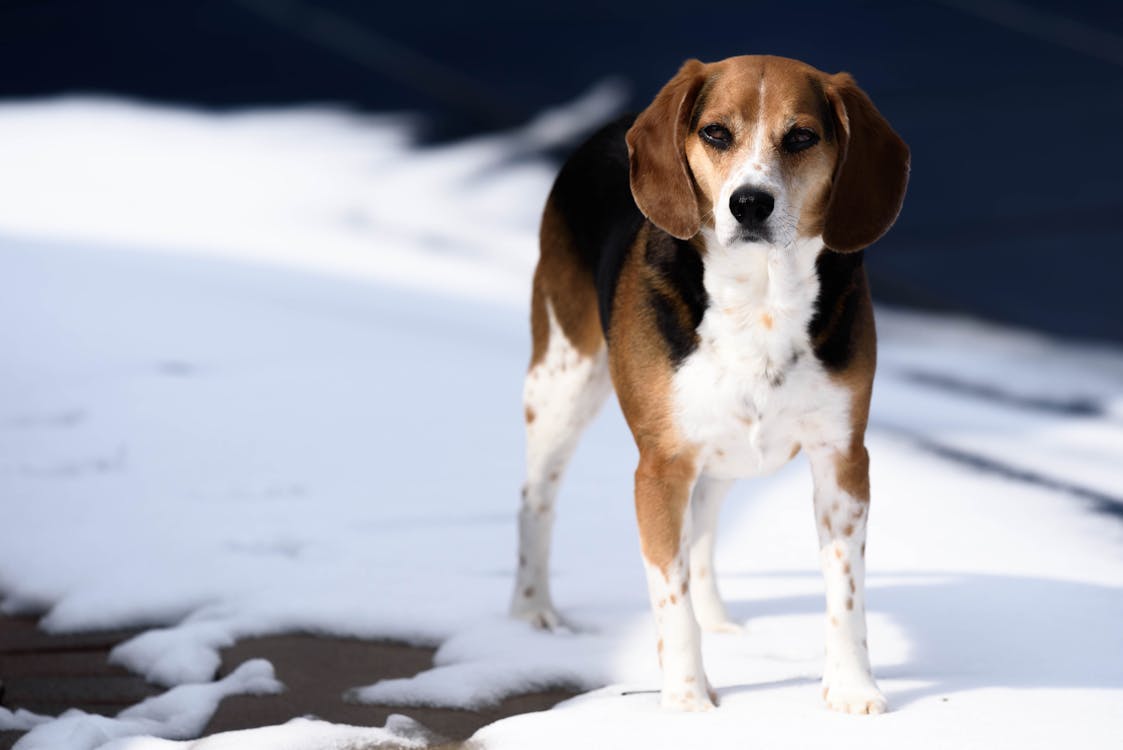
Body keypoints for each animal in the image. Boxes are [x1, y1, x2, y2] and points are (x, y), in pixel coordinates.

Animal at [509, 54, 911, 714]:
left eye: (802, 136)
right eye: (716, 133)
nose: (750, 203)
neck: (761, 298)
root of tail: (616, 124)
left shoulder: (843, 460)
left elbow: (846, 594)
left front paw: (853, 690)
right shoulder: (661, 468)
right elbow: (670, 601)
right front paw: (689, 703)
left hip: (725, 453)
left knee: (703, 528)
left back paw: (719, 619)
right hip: (560, 386)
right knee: (535, 501)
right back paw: (531, 610)